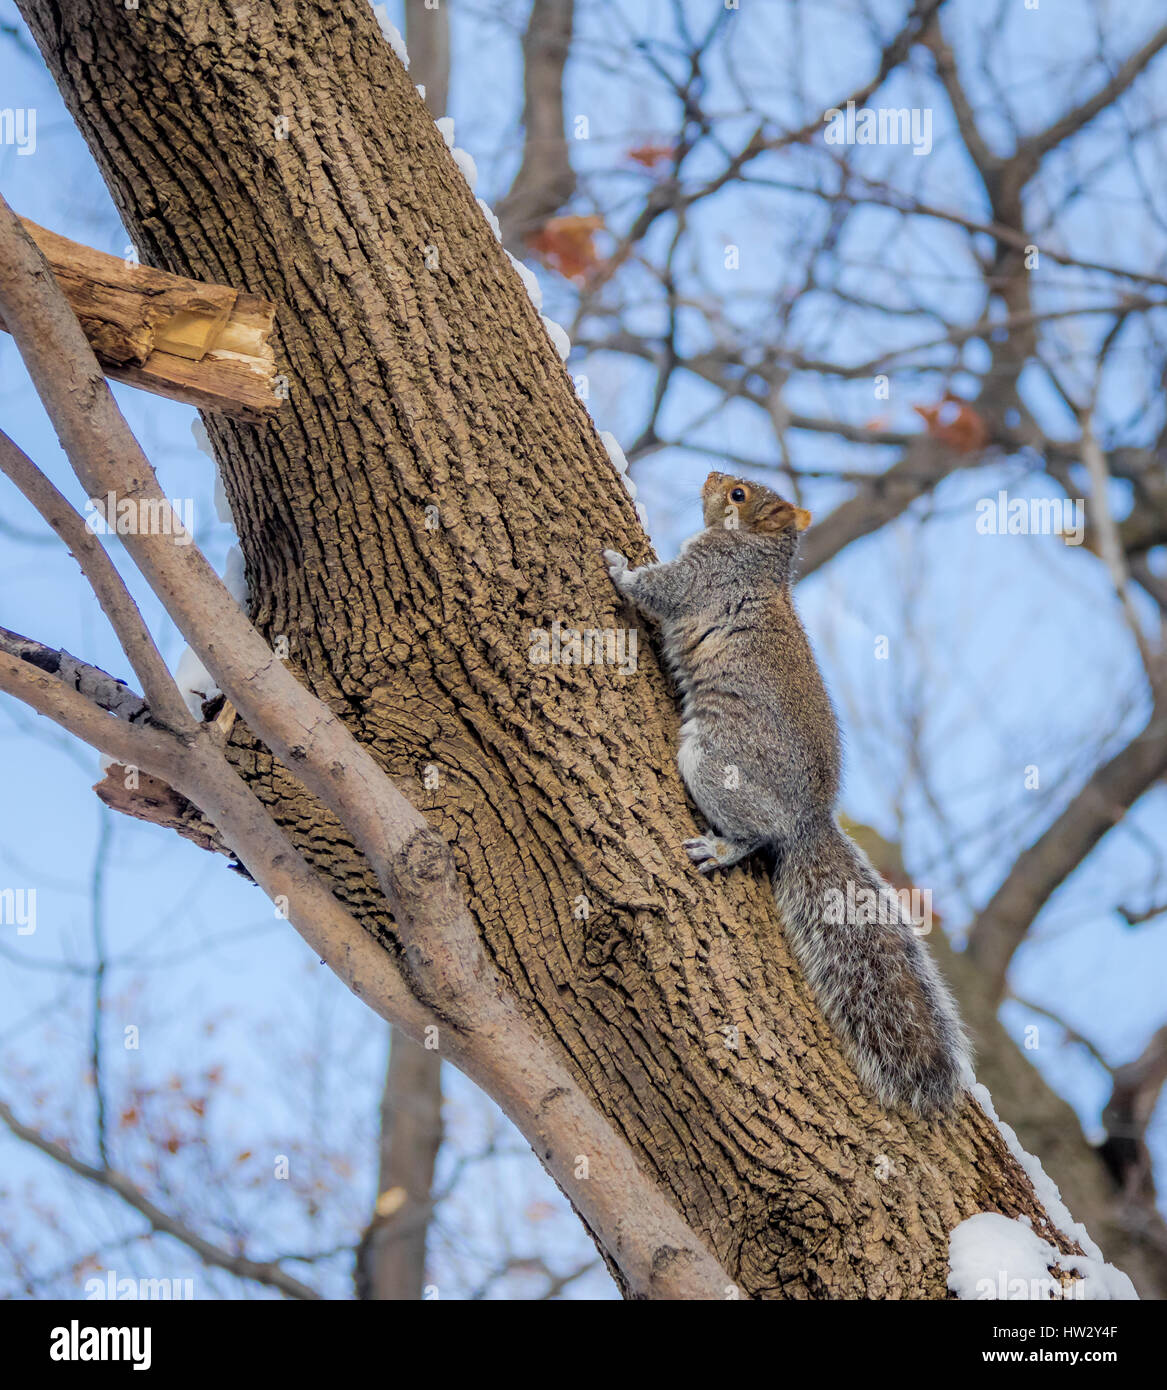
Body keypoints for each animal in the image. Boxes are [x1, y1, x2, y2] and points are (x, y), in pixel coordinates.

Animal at [603, 470, 970, 1116]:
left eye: (740, 494)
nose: (711, 476)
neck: (758, 554)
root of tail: (808, 820)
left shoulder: (707, 575)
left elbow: (661, 588)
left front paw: (618, 563)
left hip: (714, 763)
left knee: (756, 835)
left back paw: (721, 848)